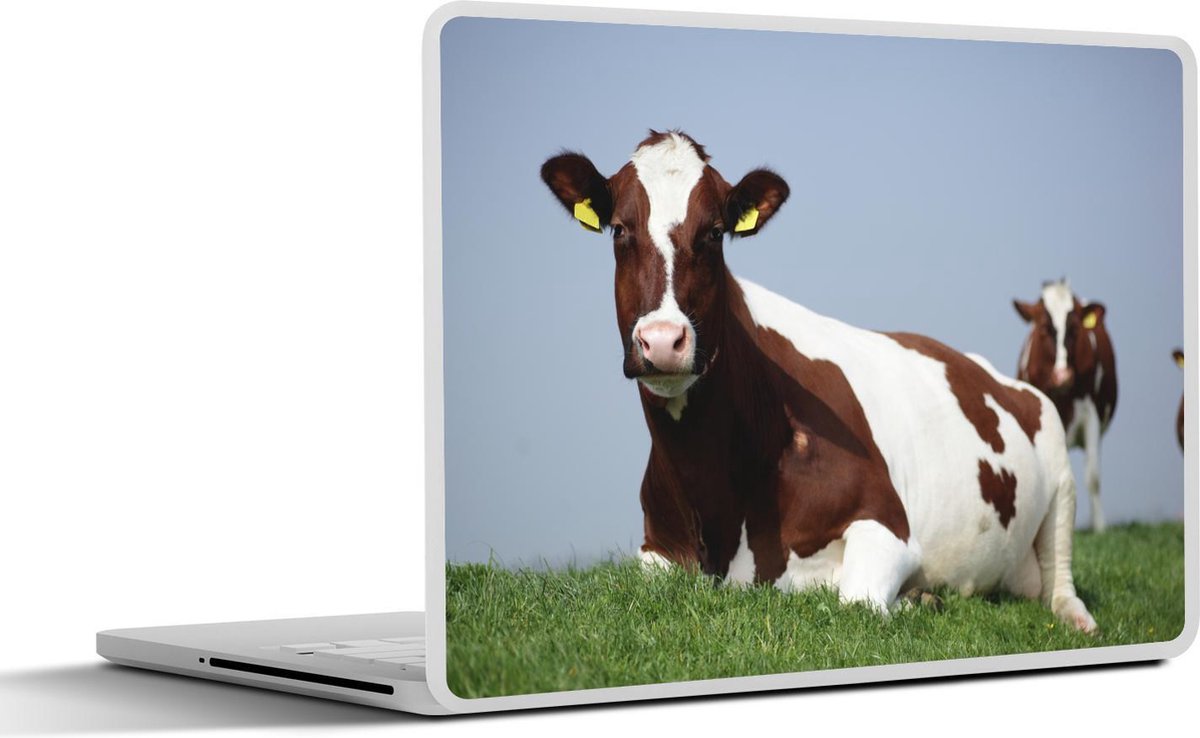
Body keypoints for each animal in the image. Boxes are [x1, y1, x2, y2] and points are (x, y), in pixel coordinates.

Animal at [540, 130, 1095, 632]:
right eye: (618, 230)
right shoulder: (655, 550)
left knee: (1060, 576)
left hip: (1061, 477)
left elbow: (857, 600)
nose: (662, 341)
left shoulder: (887, 523)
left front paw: (917, 599)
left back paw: (1077, 619)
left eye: (715, 232)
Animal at [1013, 280, 1117, 532]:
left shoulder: (1091, 414)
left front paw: (1100, 528)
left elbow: (1093, 476)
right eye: (1043, 328)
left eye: (1076, 329)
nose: (1062, 376)